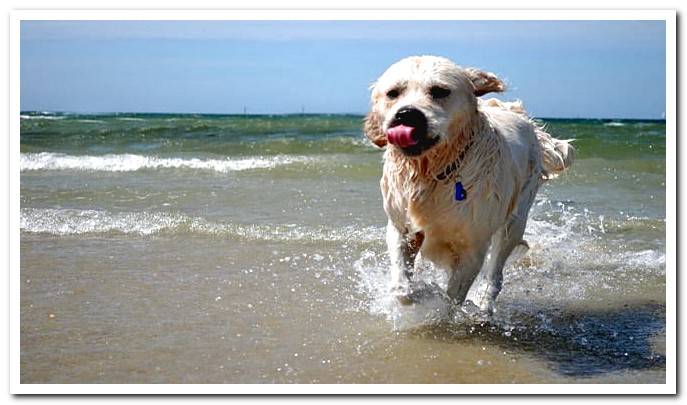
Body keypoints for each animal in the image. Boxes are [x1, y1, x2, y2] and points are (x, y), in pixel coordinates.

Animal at [366, 55, 576, 312]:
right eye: (393, 93)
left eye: (439, 91)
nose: (407, 114)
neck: (433, 173)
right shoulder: (400, 227)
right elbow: (401, 288)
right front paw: (416, 293)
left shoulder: (473, 247)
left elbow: (452, 298)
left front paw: (437, 303)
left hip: (515, 222)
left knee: (495, 275)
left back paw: (485, 304)